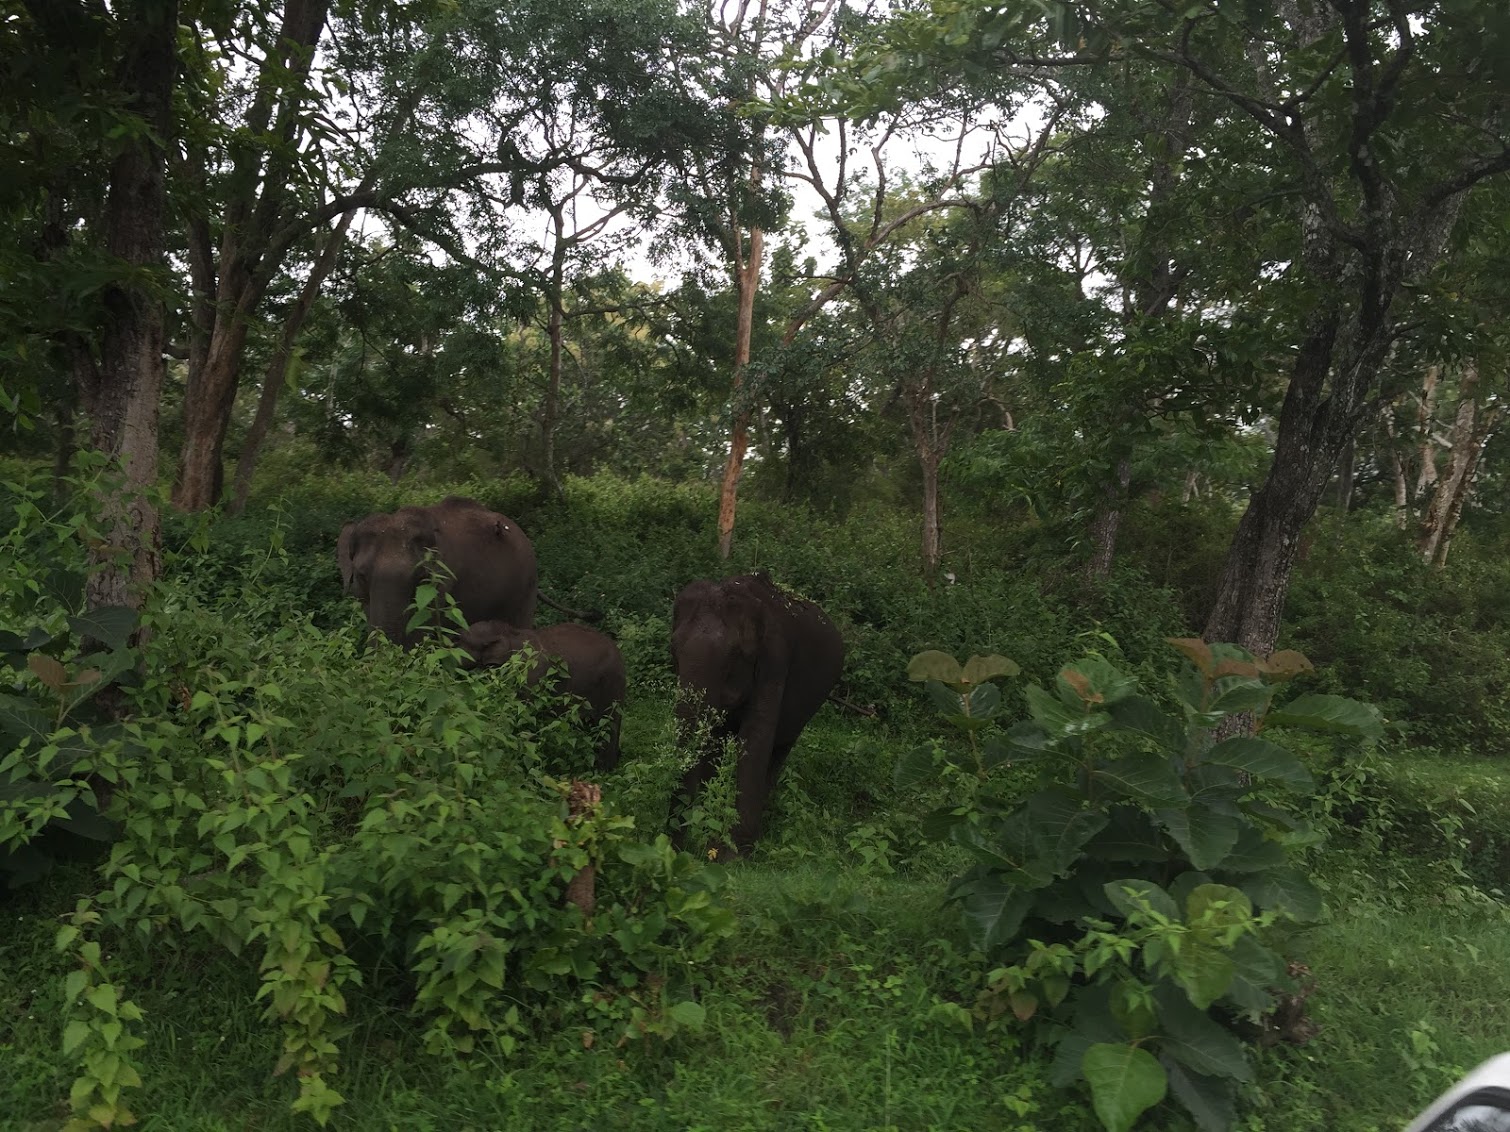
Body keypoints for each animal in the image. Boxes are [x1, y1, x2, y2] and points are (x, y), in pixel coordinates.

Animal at [458, 620, 626, 771]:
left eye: (459, 641)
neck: (509, 632)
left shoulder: (531, 677)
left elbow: (525, 717)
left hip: (611, 684)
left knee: (607, 724)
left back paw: (604, 770)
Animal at [670, 573, 844, 852]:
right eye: (673, 648)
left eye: (733, 655)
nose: (676, 846)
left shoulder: (775, 660)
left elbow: (756, 737)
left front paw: (731, 852)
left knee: (780, 749)